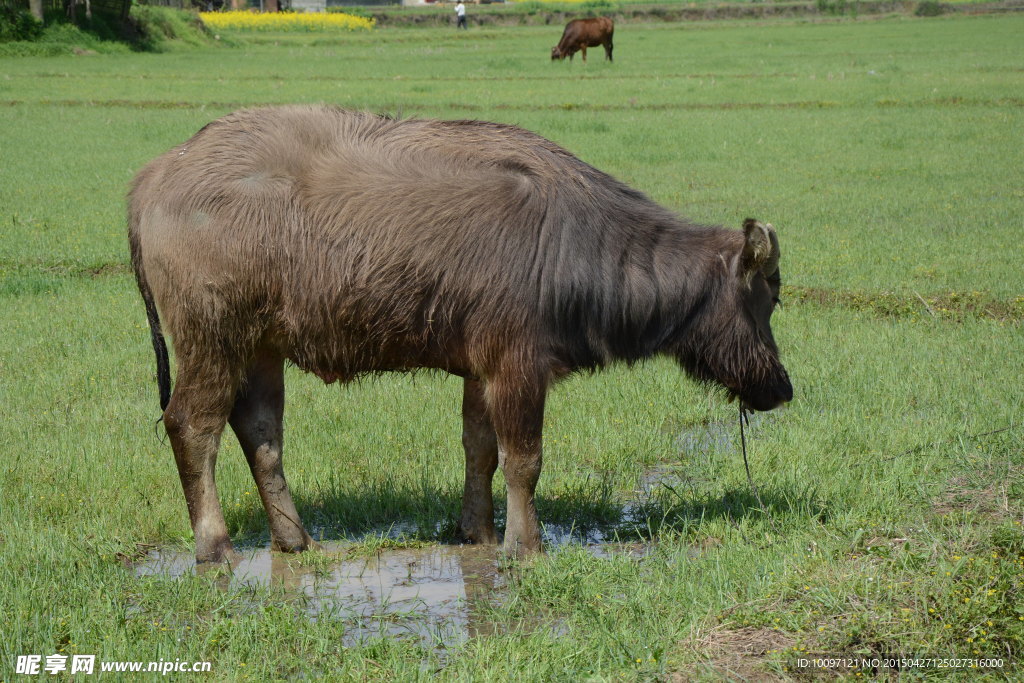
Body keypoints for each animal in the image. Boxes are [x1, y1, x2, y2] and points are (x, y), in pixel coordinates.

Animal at [130, 107, 790, 565]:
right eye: (770, 297)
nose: (782, 387)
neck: (573, 239)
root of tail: (154, 178)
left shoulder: (481, 364)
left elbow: (481, 448)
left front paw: (480, 530)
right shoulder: (519, 364)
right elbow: (525, 458)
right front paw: (526, 544)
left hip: (261, 345)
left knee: (261, 430)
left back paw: (295, 539)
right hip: (210, 338)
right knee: (192, 425)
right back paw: (214, 545)